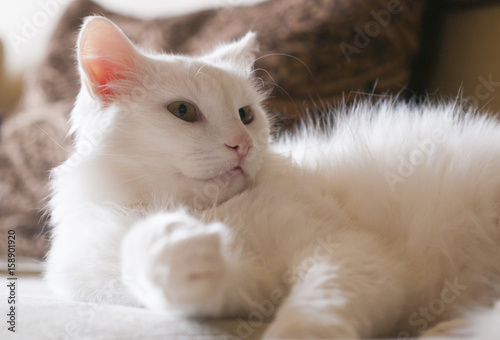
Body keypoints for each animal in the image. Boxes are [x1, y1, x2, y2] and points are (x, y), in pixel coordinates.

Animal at [45, 16, 500, 340]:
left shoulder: (347, 251)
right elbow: (160, 272)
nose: (242, 145)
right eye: (183, 111)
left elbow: (314, 311)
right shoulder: (251, 285)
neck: (211, 210)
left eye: (246, 115)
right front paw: (179, 250)